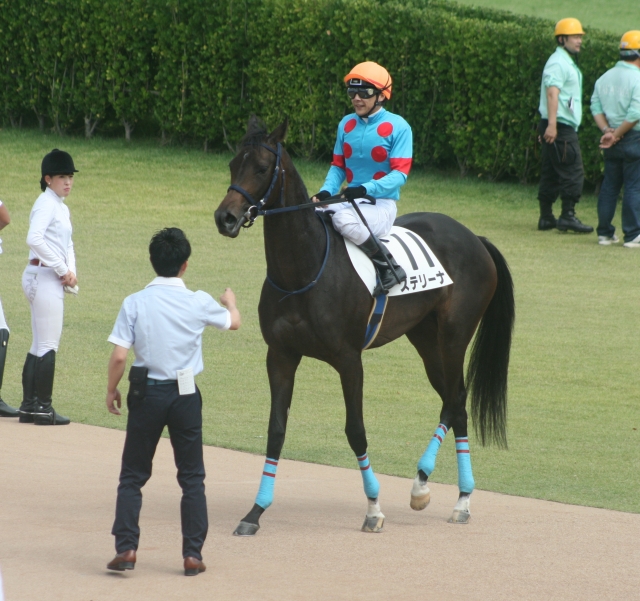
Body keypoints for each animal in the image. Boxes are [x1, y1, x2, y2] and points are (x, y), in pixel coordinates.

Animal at [214, 116, 514, 536]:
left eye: (260, 168)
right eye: (232, 164)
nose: (225, 218)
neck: (303, 270)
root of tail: (474, 237)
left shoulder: (348, 359)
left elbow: (355, 430)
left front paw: (373, 508)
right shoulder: (281, 355)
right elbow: (276, 430)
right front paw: (255, 512)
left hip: (455, 336)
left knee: (456, 399)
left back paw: (449, 494)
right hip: (426, 339)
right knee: (453, 403)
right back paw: (437, 490)